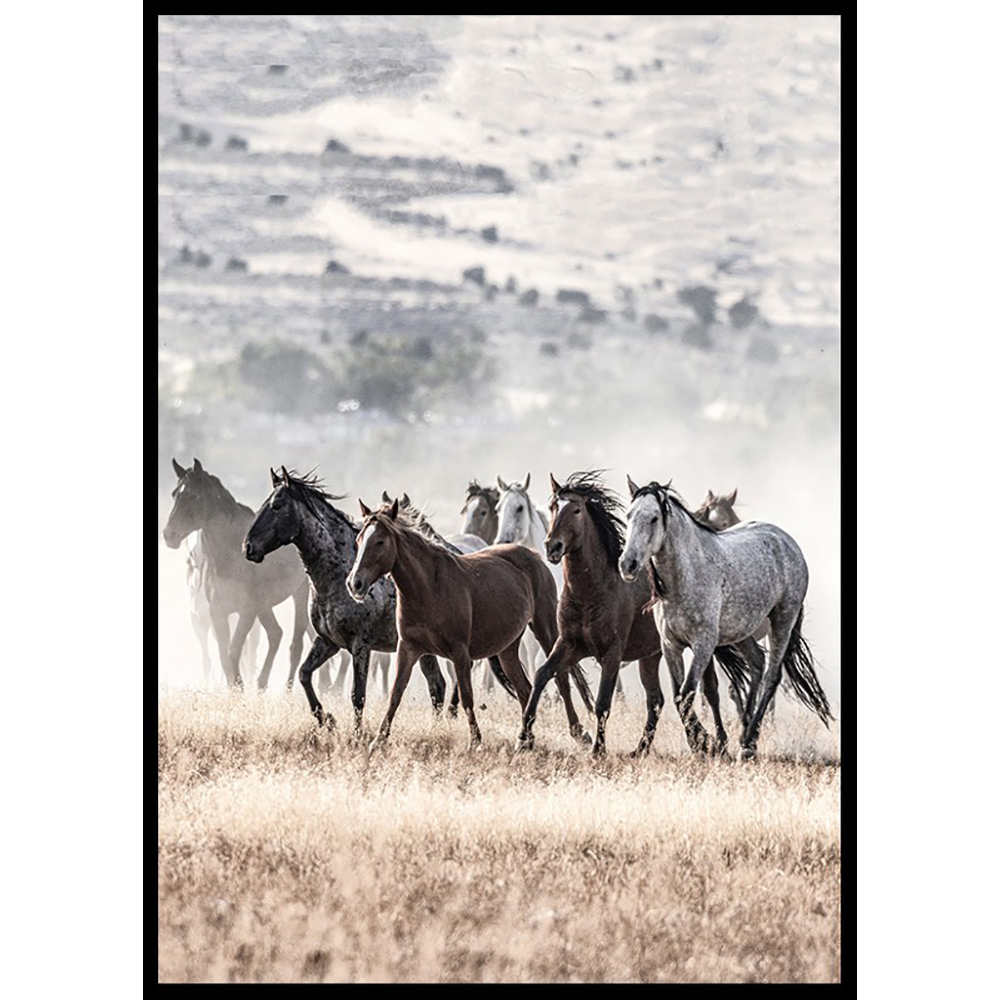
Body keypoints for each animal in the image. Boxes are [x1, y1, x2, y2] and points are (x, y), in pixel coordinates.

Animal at [163, 459, 311, 690]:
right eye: (174, 494)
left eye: (193, 496)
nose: (169, 535)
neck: (230, 554)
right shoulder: (218, 612)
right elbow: (224, 655)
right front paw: (235, 690)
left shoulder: (246, 611)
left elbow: (233, 651)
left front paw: (239, 688)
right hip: (264, 605)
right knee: (275, 634)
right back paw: (261, 685)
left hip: (300, 592)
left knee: (295, 644)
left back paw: (285, 690)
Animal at [243, 468, 448, 734]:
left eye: (277, 506)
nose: (248, 547)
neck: (339, 575)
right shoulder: (328, 641)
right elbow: (304, 674)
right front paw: (327, 720)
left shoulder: (360, 646)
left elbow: (357, 695)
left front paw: (357, 735)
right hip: (423, 649)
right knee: (437, 685)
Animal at [346, 498, 594, 752]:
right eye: (359, 540)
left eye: (380, 541)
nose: (355, 584)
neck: (429, 589)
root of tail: (534, 556)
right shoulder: (408, 648)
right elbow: (396, 692)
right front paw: (379, 740)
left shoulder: (460, 653)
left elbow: (466, 696)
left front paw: (475, 741)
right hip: (507, 648)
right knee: (524, 688)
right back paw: (526, 739)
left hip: (545, 630)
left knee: (561, 677)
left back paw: (578, 732)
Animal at [517, 472, 755, 756]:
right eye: (553, 506)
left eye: (575, 510)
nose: (552, 547)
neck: (593, 591)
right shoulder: (568, 645)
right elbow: (541, 676)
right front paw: (523, 737)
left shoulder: (612, 653)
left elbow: (603, 702)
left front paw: (598, 750)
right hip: (651, 656)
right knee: (657, 700)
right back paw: (645, 748)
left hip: (699, 649)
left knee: (709, 692)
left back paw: (717, 743)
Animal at [619, 478, 833, 758]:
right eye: (629, 515)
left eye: (654, 518)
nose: (627, 564)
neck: (688, 575)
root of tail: (787, 542)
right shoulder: (670, 645)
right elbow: (679, 696)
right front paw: (704, 743)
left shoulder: (703, 644)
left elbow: (688, 692)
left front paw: (704, 744)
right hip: (743, 631)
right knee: (757, 662)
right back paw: (744, 732)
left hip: (782, 621)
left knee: (772, 676)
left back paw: (750, 742)